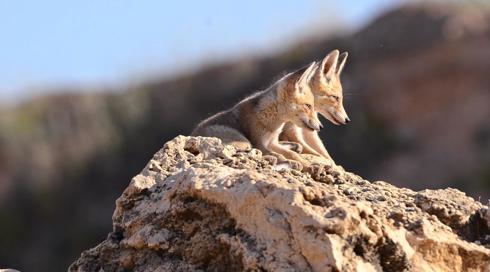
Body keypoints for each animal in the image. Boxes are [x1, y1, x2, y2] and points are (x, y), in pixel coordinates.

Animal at [191, 61, 322, 170]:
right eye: (308, 106)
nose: (321, 127)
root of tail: (192, 135)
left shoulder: (271, 143)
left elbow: (291, 154)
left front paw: (306, 163)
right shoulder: (260, 143)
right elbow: (279, 154)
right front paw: (303, 165)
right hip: (243, 142)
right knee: (247, 154)